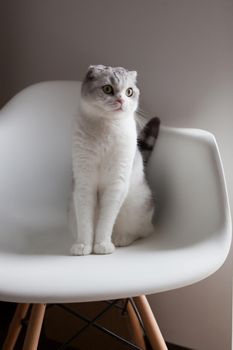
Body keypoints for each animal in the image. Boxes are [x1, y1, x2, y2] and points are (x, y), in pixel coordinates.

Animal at [69, 64, 157, 254]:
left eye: (129, 92)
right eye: (107, 89)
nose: (121, 101)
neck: (106, 128)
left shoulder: (116, 184)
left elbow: (106, 221)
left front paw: (102, 245)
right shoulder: (84, 183)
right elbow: (85, 222)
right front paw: (83, 245)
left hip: (137, 206)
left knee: (142, 231)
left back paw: (121, 238)